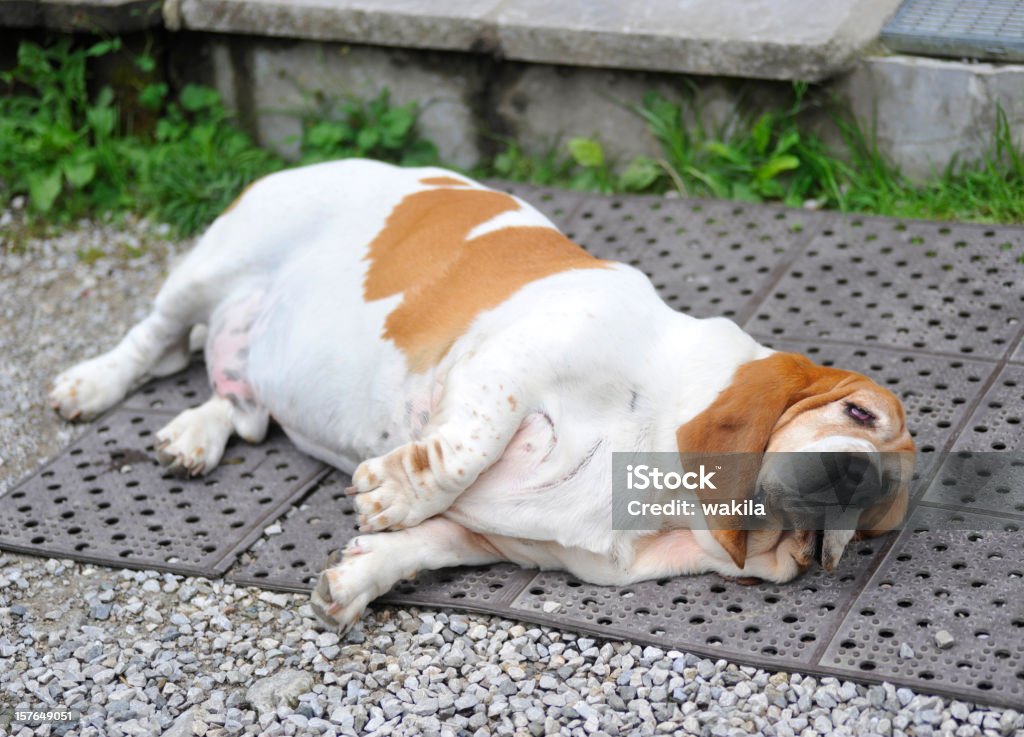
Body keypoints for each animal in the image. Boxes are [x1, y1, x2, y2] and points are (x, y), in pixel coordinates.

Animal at [46, 158, 913, 630]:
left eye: (874, 520)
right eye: (858, 413)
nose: (856, 477)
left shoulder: (500, 540)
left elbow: (423, 545)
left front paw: (355, 580)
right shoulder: (506, 367)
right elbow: (462, 449)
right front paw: (390, 491)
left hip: (243, 361)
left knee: (237, 400)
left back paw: (194, 436)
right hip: (208, 269)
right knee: (153, 341)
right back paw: (89, 384)